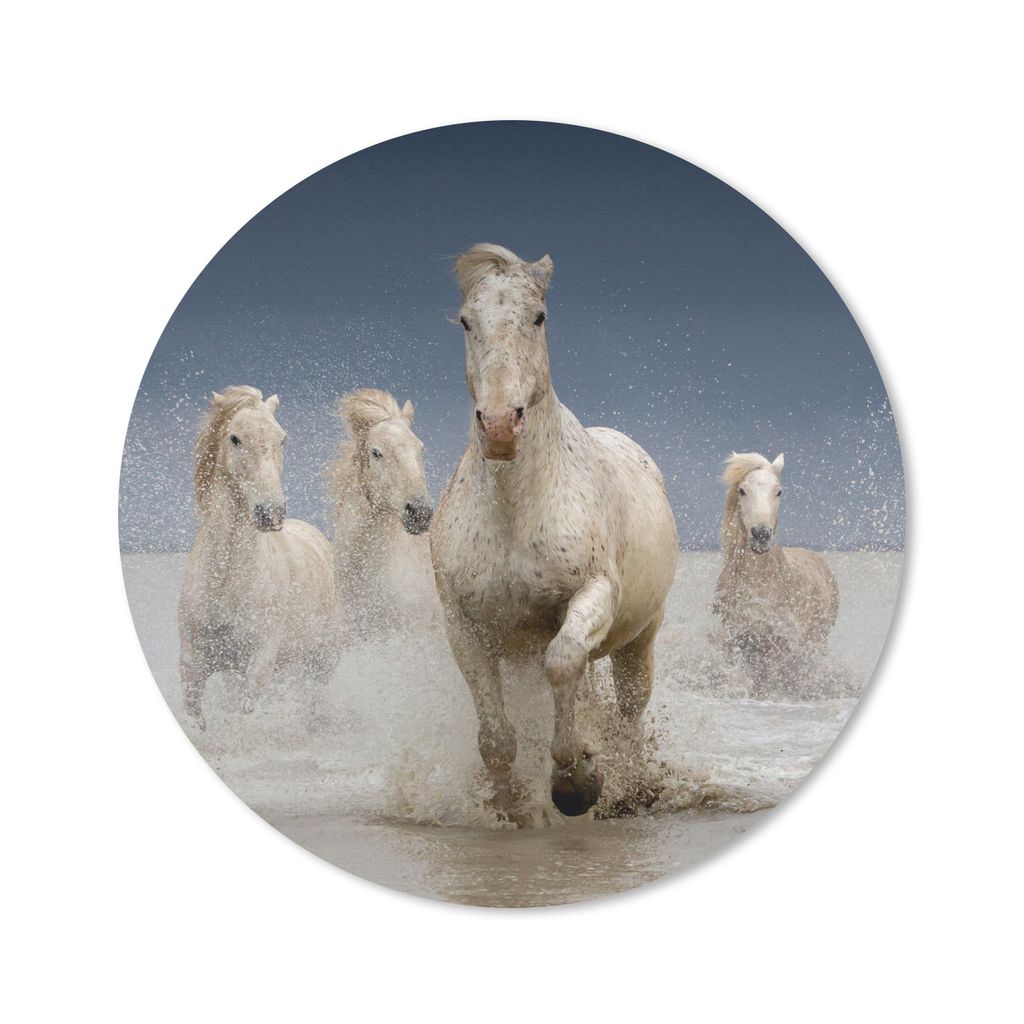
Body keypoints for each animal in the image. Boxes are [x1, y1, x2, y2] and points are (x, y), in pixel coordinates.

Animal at [178, 386, 343, 731]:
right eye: (235, 438)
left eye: (282, 438)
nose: (272, 513)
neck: (225, 581)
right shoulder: (194, 665)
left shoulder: (259, 663)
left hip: (322, 660)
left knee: (312, 701)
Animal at [430, 243, 679, 821]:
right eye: (467, 322)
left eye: (538, 317)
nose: (501, 426)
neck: (515, 511)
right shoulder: (465, 626)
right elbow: (496, 738)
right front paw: (507, 805)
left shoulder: (592, 593)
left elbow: (564, 663)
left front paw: (576, 784)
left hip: (641, 637)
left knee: (629, 709)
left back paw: (629, 787)